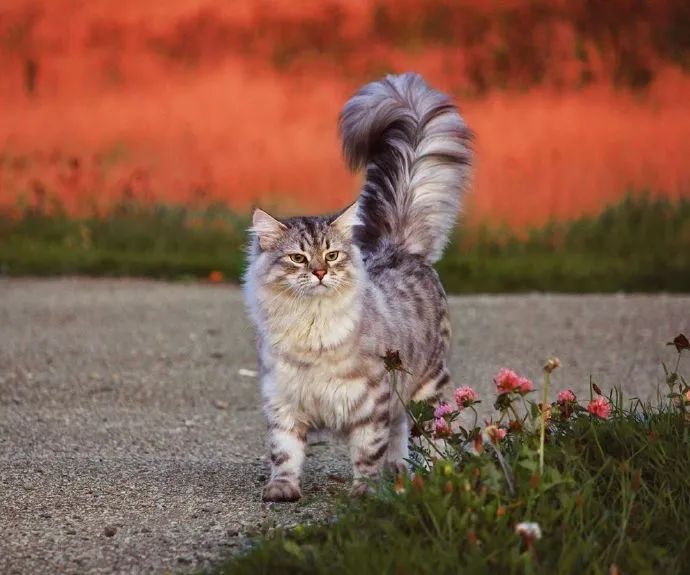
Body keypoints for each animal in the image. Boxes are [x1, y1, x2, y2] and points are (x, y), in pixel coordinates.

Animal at [239, 72, 470, 502]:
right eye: (298, 258)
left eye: (331, 255)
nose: (319, 273)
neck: (310, 330)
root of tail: (399, 247)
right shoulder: (282, 400)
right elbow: (284, 452)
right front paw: (282, 489)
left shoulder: (370, 401)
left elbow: (366, 453)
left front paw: (364, 492)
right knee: (400, 433)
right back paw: (400, 472)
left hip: (426, 386)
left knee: (429, 434)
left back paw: (425, 477)